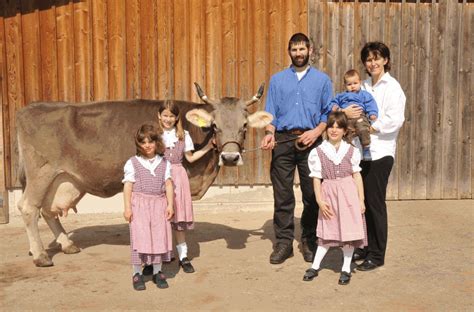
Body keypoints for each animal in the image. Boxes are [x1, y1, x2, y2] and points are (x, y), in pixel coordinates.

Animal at [16, 84, 272, 266]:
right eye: (215, 125)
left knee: (47, 210)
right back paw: (40, 255)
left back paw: (67, 243)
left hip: (63, 179)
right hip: (41, 173)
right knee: (29, 208)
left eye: (244, 126)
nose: (230, 158)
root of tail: (30, 108)